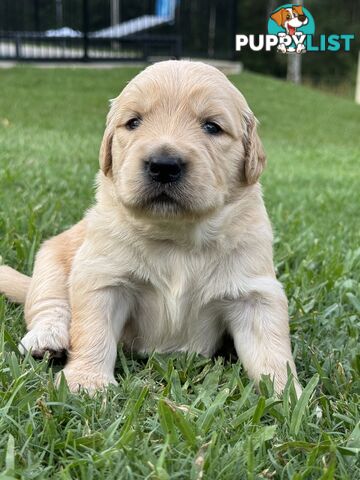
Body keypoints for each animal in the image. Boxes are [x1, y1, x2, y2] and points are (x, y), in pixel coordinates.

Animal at [0, 60, 298, 394]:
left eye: (212, 127)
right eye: (133, 122)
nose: (164, 165)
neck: (177, 236)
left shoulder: (256, 293)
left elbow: (273, 352)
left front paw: (289, 396)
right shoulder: (102, 277)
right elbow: (93, 331)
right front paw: (86, 381)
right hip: (51, 261)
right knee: (50, 304)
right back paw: (47, 338)